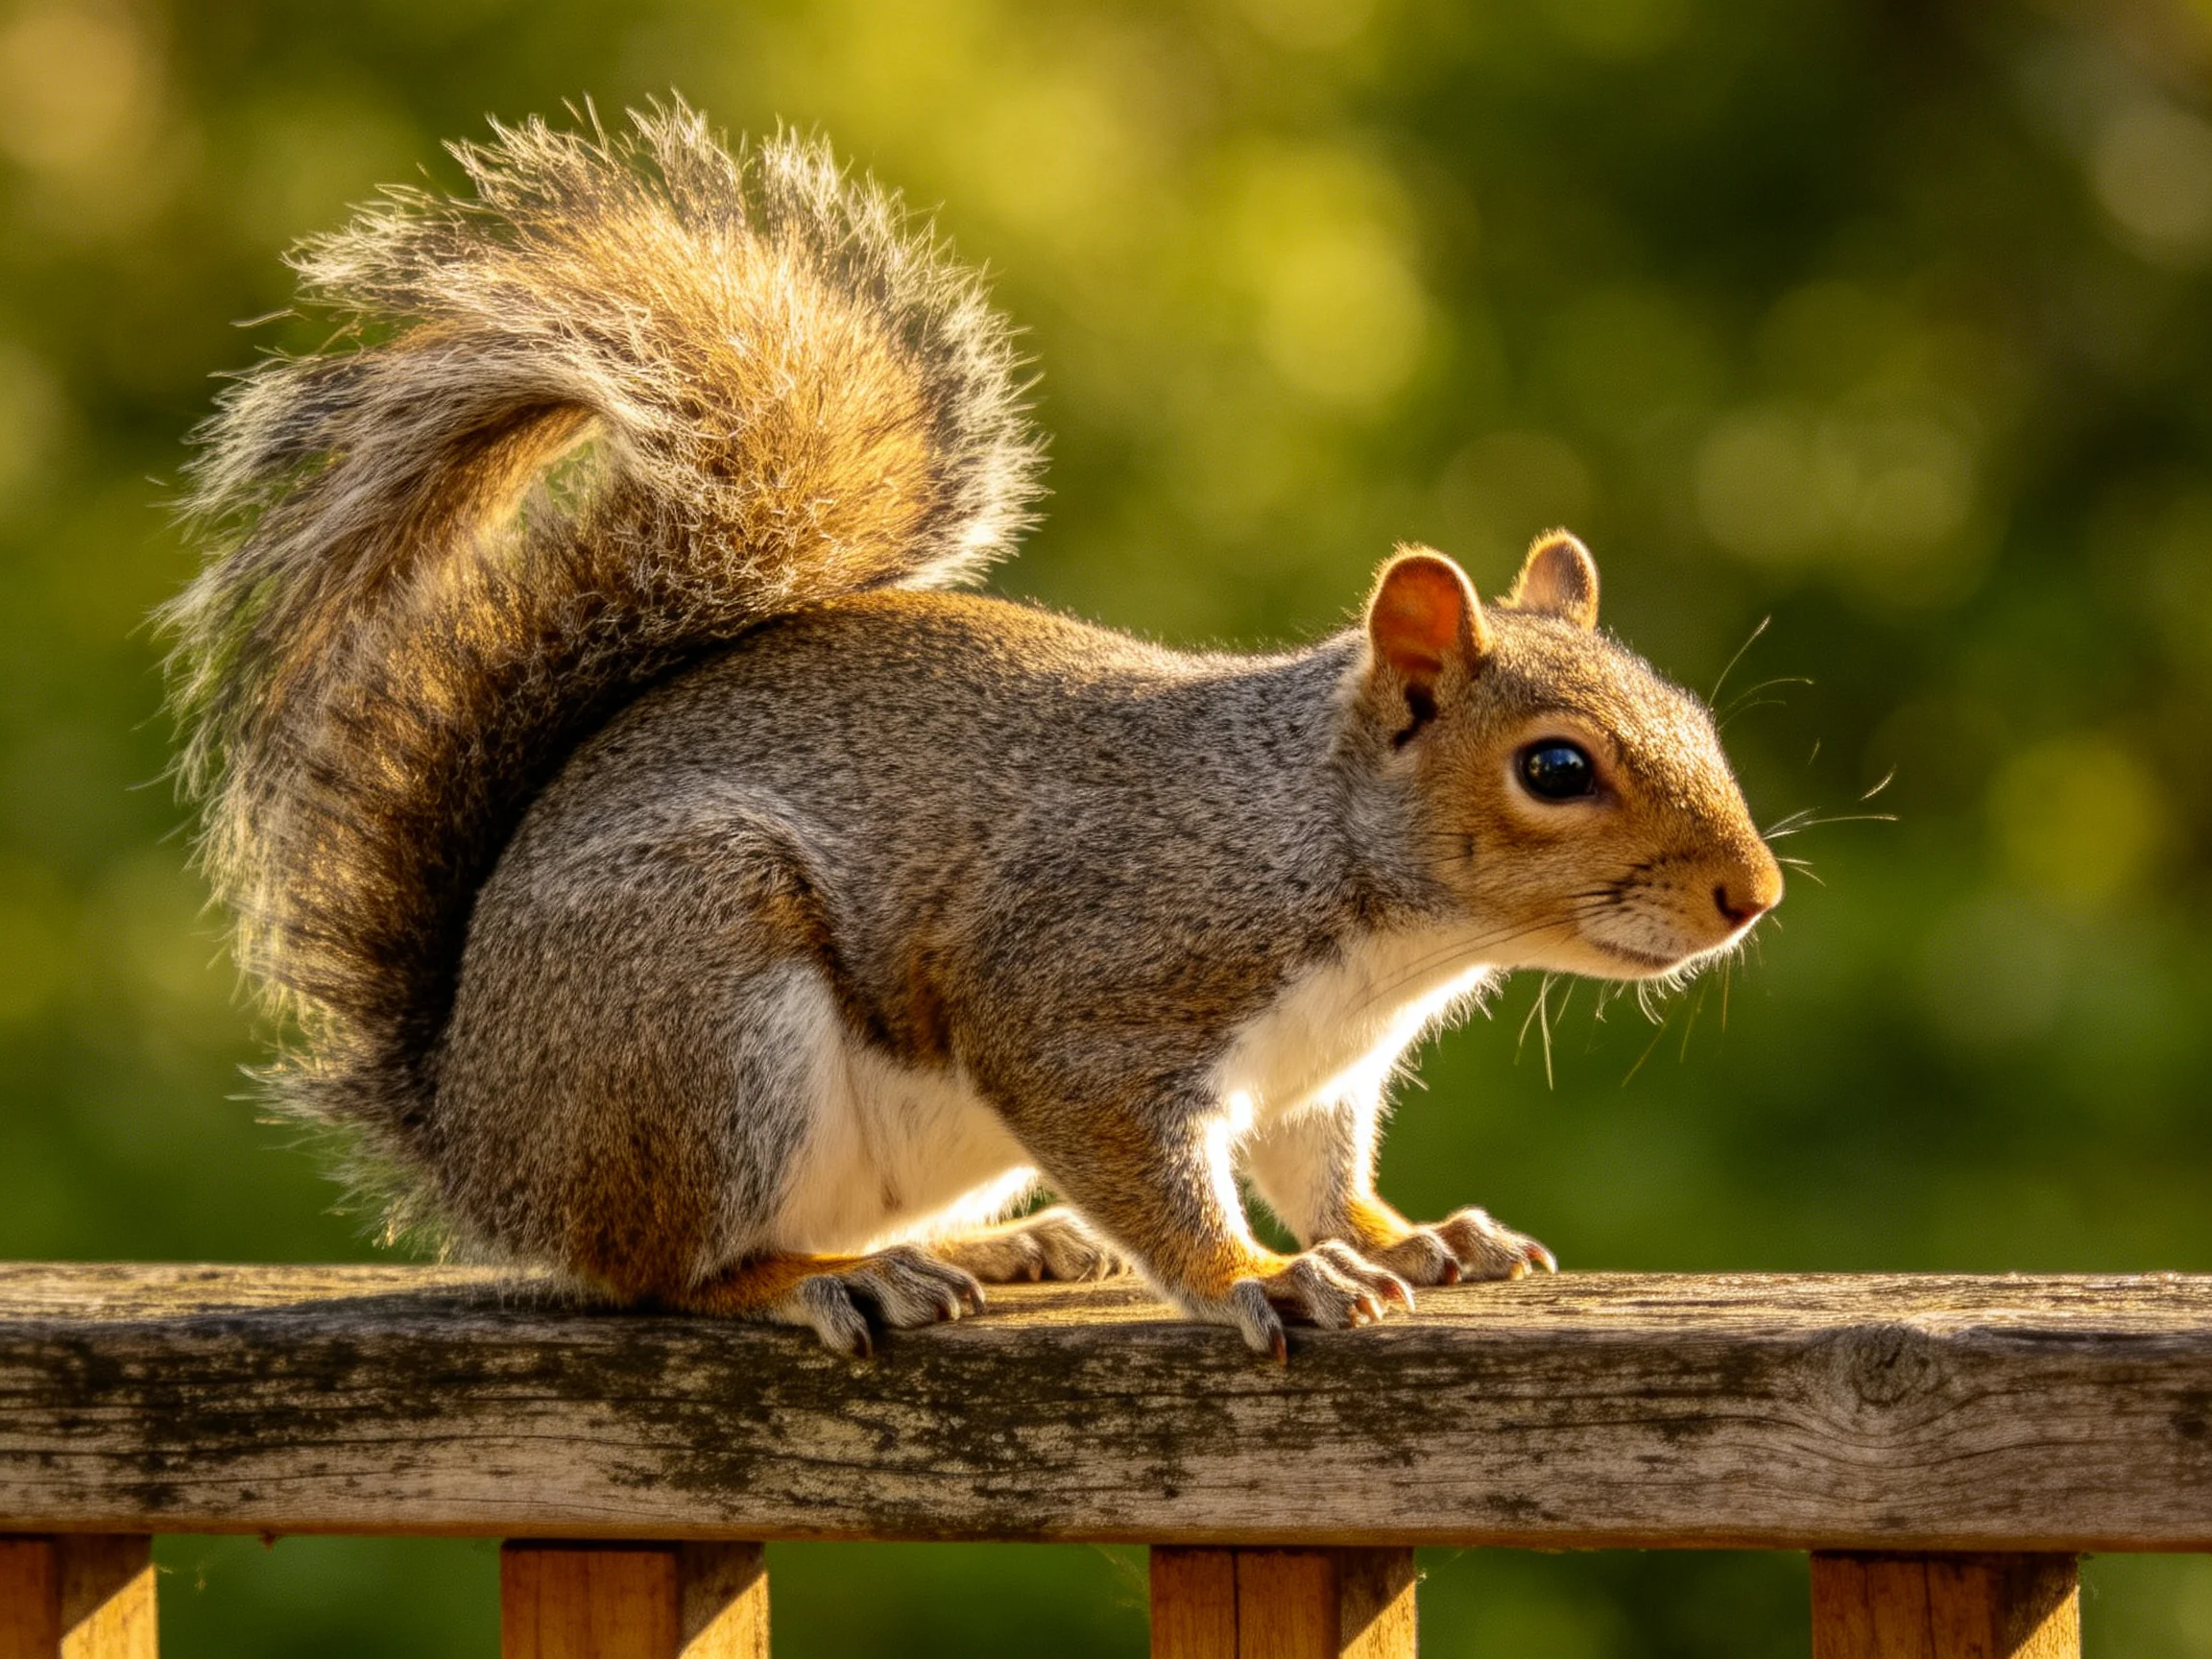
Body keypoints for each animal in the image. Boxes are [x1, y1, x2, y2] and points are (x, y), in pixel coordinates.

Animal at [164, 103, 1783, 1360]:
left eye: (1699, 719)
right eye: (1556, 768)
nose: (1752, 896)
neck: (1353, 887)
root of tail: (480, 1135)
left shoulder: (1317, 1076)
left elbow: (1321, 1170)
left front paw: (1414, 1233)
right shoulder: (1088, 993)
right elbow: (1158, 1172)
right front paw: (1266, 1279)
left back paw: (992, 1251)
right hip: (693, 1015)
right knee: (663, 1271)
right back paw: (831, 1282)